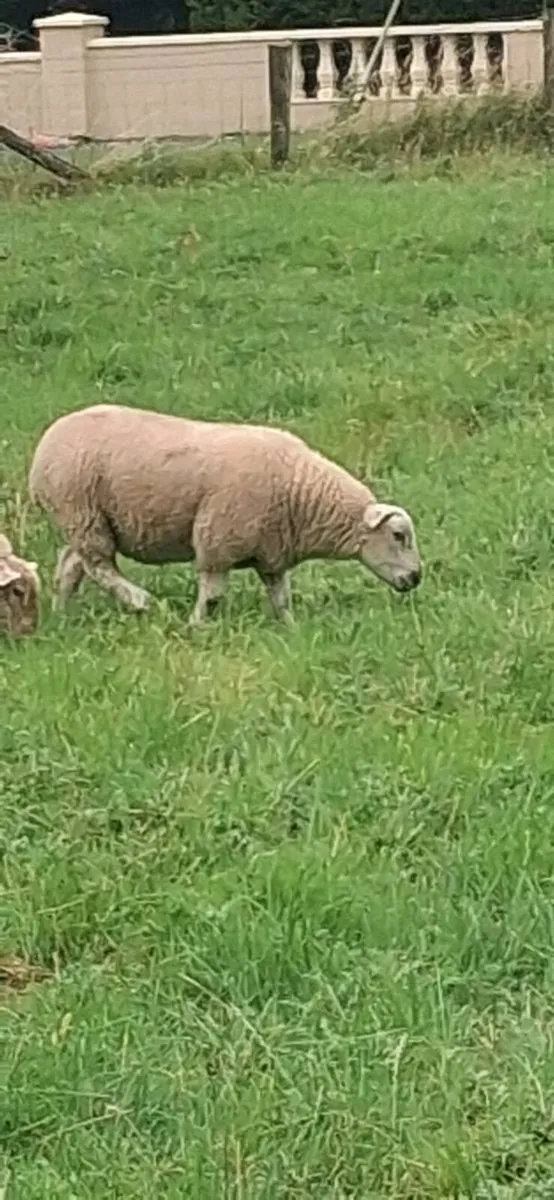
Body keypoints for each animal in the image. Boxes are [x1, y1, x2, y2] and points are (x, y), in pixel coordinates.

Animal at [28, 404, 422, 624]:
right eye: (398, 535)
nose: (416, 578)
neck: (303, 494)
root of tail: (44, 446)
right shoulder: (217, 542)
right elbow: (214, 595)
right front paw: (196, 627)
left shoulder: (271, 554)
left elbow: (281, 598)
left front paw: (290, 629)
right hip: (81, 511)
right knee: (99, 565)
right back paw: (140, 601)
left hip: (87, 519)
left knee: (72, 565)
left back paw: (62, 615)